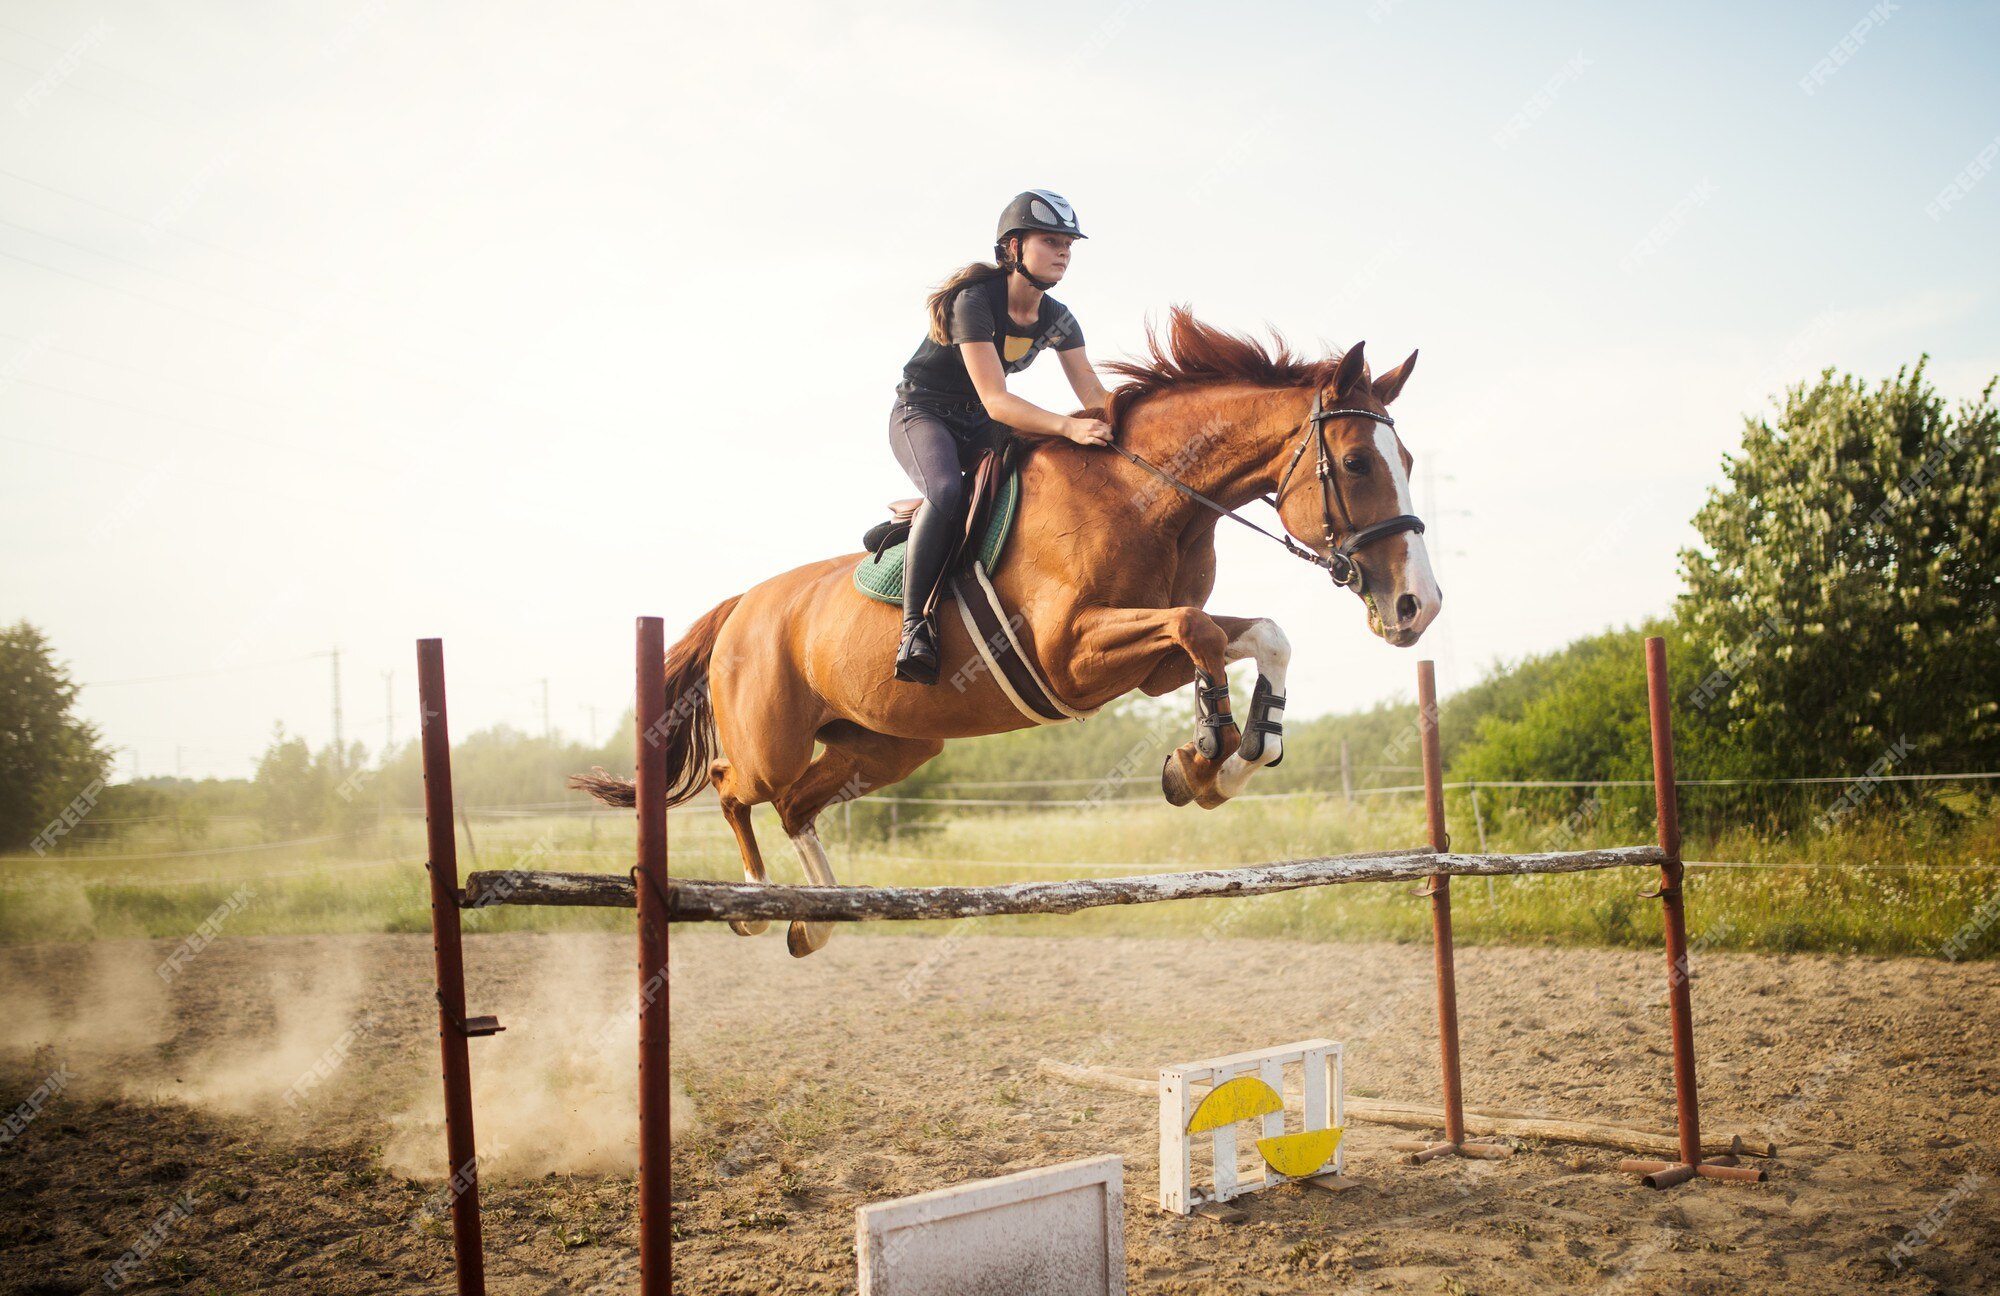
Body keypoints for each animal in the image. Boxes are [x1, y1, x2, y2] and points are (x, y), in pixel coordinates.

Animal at [576, 304, 1440, 952]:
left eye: (1407, 461)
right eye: (1358, 463)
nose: (1417, 607)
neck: (1151, 500)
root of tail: (742, 607)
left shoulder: (1143, 663)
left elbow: (1258, 635)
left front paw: (1225, 759)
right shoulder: (1071, 656)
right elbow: (1199, 632)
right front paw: (1205, 755)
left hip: (889, 746)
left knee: (796, 806)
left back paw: (819, 919)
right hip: (772, 742)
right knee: (735, 787)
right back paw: (754, 903)